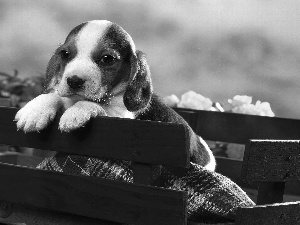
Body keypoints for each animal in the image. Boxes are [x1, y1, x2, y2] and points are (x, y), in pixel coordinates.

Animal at [14, 20, 216, 171]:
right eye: (65, 54)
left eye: (107, 59)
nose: (74, 81)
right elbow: (56, 96)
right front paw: (35, 111)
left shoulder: (121, 118)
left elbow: (98, 106)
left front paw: (76, 113)